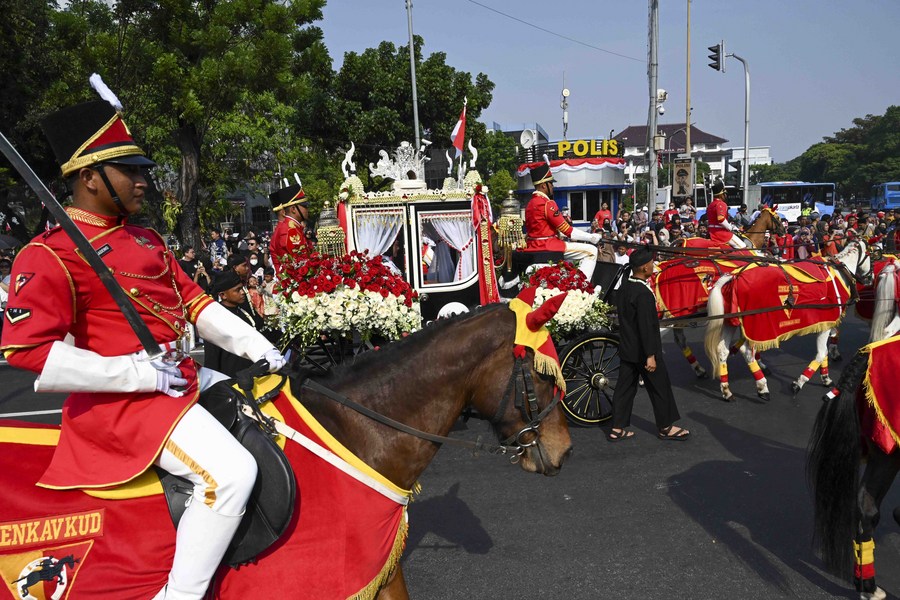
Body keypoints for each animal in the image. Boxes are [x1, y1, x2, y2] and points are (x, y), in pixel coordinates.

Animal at [704, 237, 872, 400]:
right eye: (871, 254)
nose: (870, 278)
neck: (839, 271)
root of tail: (735, 276)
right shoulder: (826, 324)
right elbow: (821, 353)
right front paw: (800, 382)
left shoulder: (825, 324)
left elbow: (823, 352)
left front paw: (825, 378)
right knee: (747, 352)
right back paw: (762, 386)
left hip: (731, 323)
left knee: (722, 350)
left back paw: (726, 390)